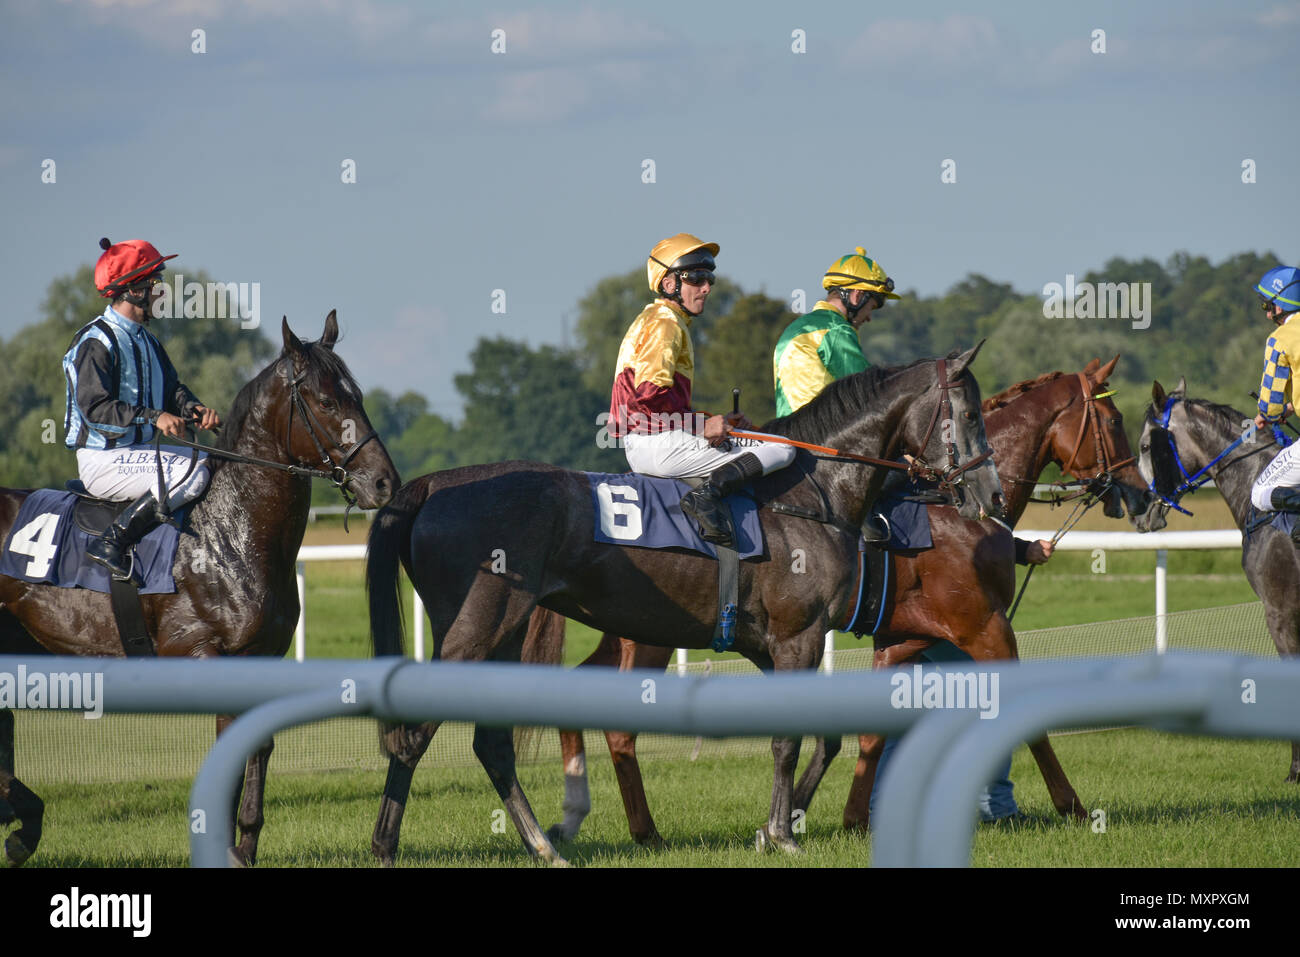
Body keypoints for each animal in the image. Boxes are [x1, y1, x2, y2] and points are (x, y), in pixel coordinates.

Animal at [0, 314, 395, 868]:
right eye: (326, 401)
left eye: (355, 395)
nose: (384, 483)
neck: (228, 532)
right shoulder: (205, 654)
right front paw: (225, 846)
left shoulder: (262, 657)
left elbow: (259, 746)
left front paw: (244, 845)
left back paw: (24, 821)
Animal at [543, 356, 1154, 842]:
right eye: (1116, 422)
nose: (1142, 497)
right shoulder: (983, 626)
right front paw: (1072, 806)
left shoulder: (904, 637)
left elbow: (866, 733)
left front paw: (834, 815)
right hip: (650, 634)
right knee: (620, 728)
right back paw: (641, 829)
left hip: (624, 628)